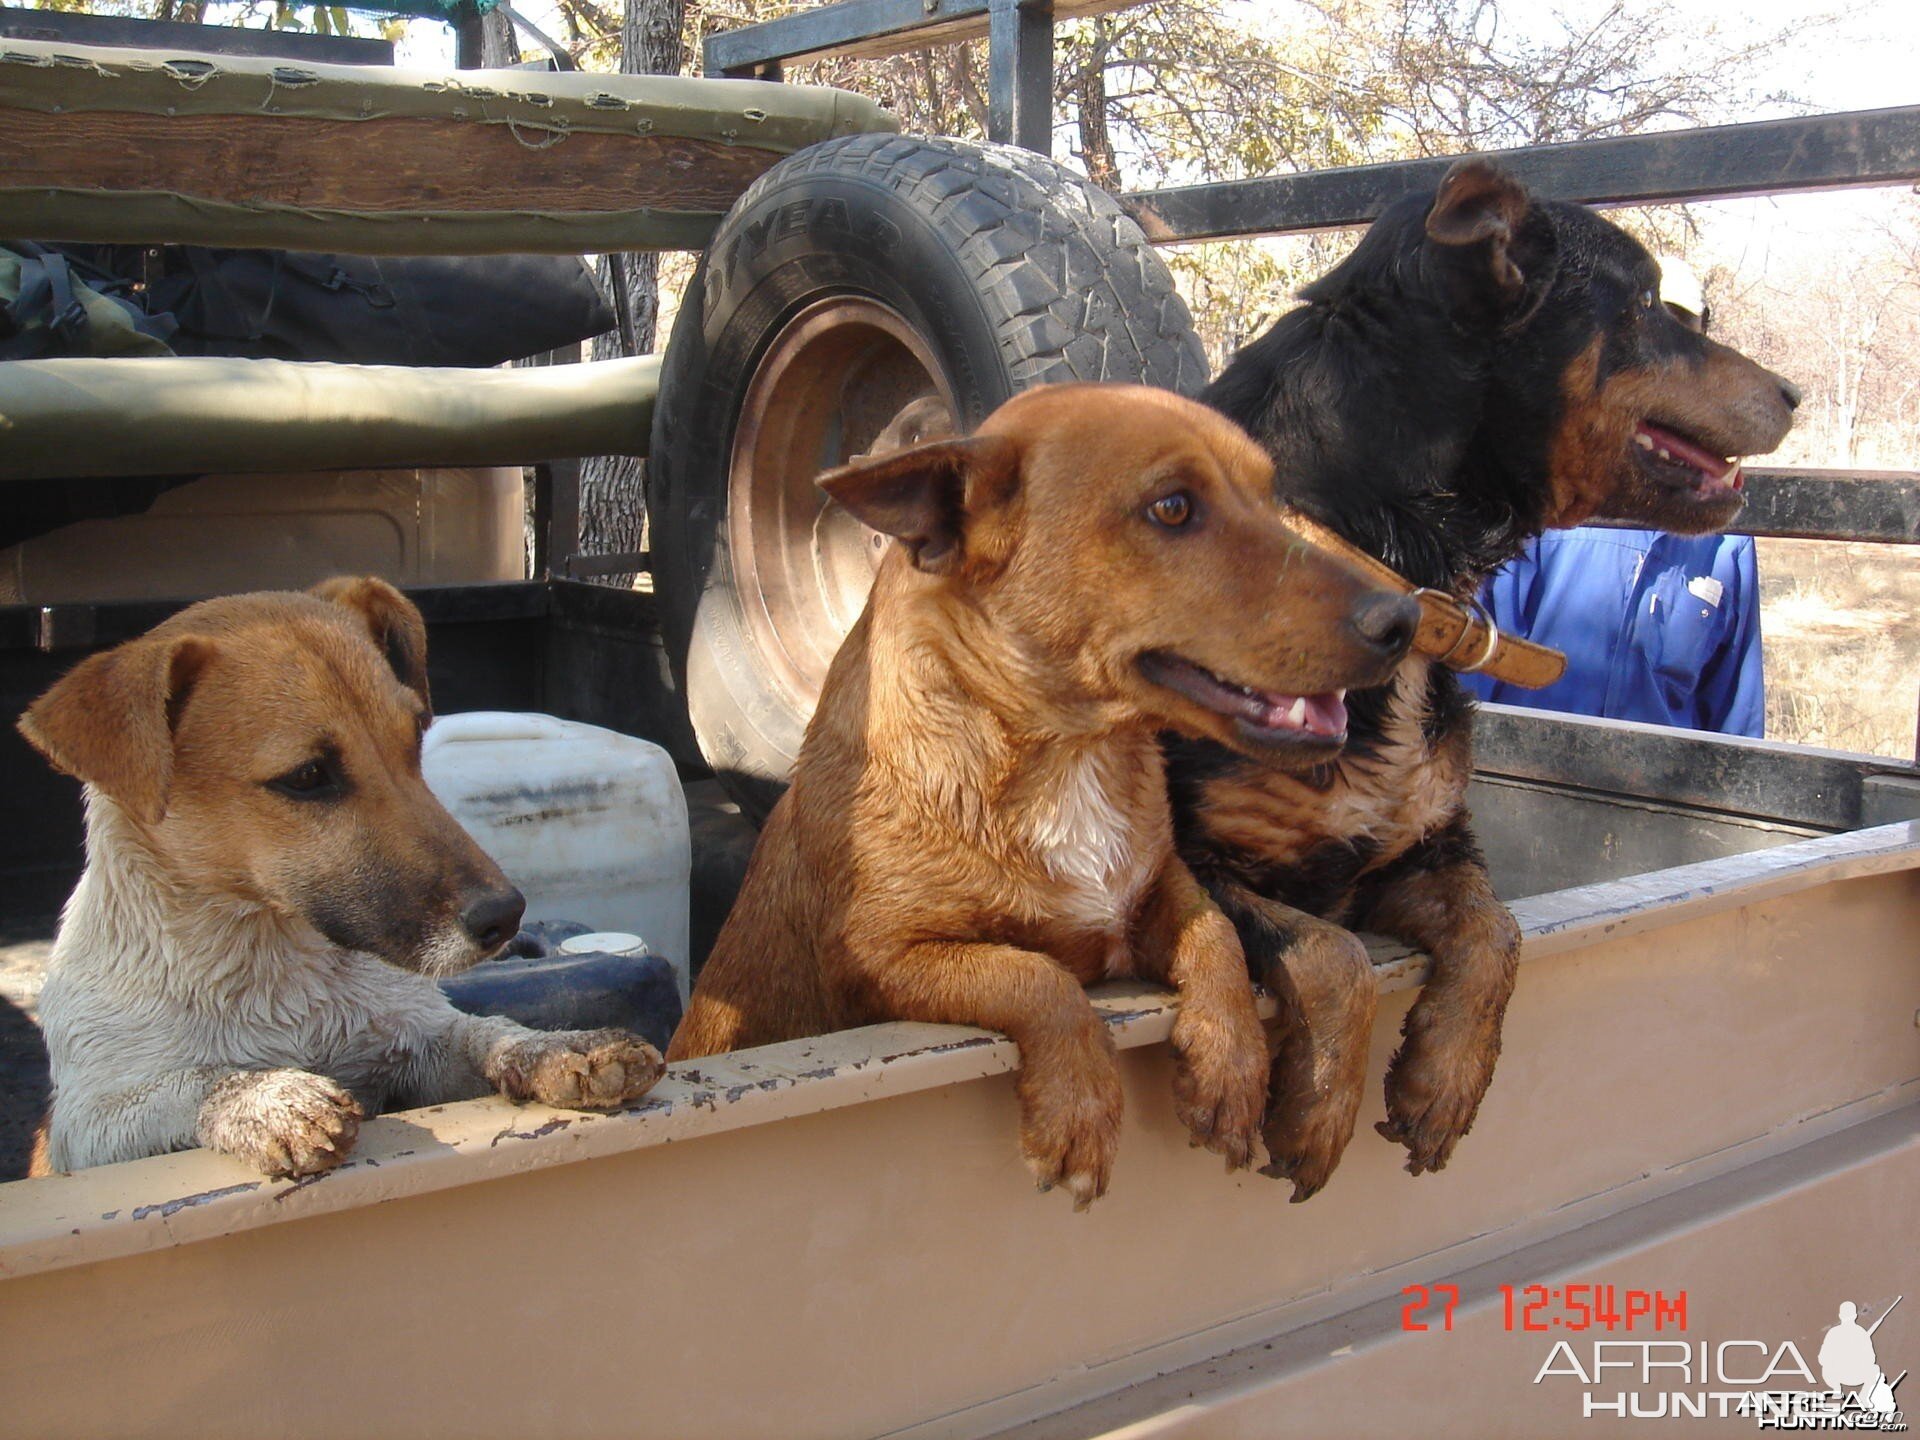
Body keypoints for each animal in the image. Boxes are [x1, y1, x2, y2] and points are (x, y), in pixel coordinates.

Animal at [18, 579, 668, 1175]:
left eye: (416, 738)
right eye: (307, 776)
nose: (506, 917)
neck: (279, 965)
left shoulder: (417, 1042)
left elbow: (484, 1033)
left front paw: (559, 1045)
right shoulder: (92, 1125)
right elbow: (195, 1082)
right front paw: (271, 1097)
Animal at [668, 384, 1420, 1205]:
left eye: (1273, 494)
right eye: (1172, 508)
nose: (1406, 617)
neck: (1068, 757)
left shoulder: (1162, 886)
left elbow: (1216, 933)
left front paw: (1230, 1063)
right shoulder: (880, 961)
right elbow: (1034, 975)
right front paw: (1080, 1108)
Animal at [1182, 157, 1797, 1198]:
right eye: (1645, 305)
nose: (1794, 393)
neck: (1390, 566)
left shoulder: (1422, 849)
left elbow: (1496, 929)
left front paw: (1444, 1081)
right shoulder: (1181, 856)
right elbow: (1330, 952)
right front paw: (1317, 1109)